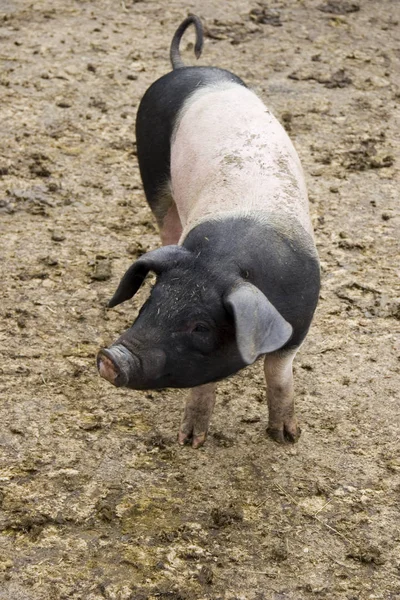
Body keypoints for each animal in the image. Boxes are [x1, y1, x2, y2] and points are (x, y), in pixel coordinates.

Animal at [97, 14, 318, 448]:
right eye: (149, 303)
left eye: (199, 326)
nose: (111, 359)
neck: (222, 261)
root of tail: (183, 68)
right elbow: (201, 383)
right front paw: (189, 441)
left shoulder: (300, 325)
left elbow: (279, 375)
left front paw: (287, 437)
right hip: (152, 172)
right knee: (166, 224)